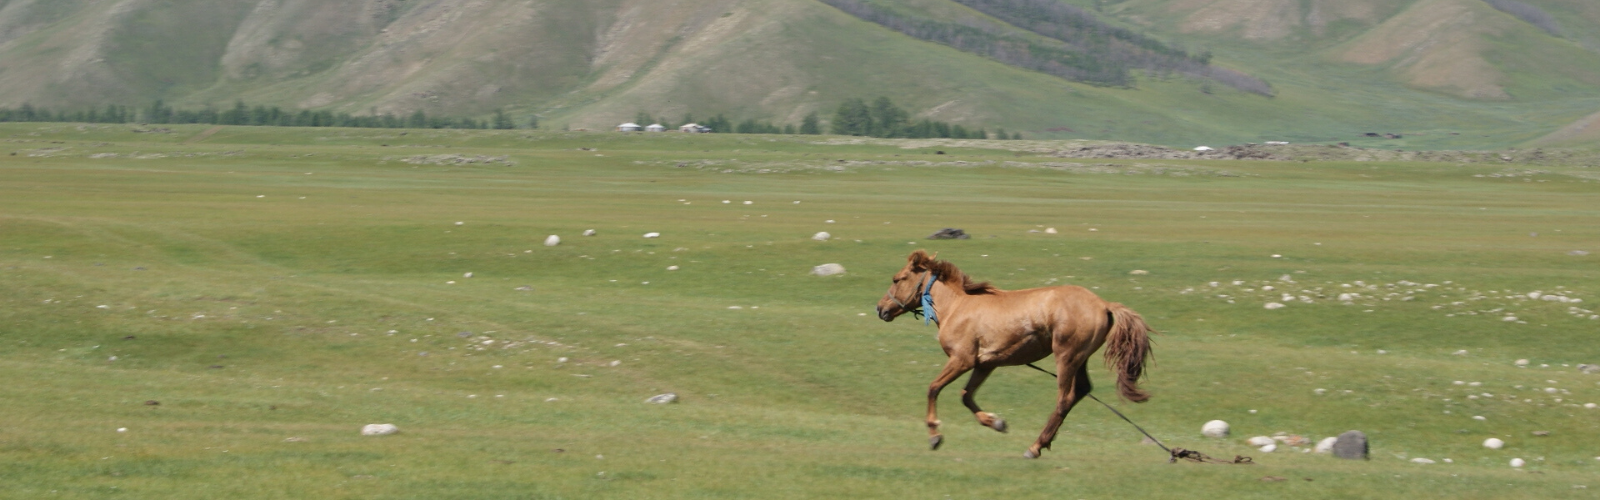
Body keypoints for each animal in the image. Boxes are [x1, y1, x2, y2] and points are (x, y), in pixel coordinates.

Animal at [876, 248, 1152, 458]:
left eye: (897, 279)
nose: (880, 309)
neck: (957, 306)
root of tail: (1104, 304)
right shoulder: (984, 364)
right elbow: (966, 396)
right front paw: (996, 423)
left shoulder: (962, 360)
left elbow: (933, 388)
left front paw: (935, 435)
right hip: (1080, 359)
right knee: (1081, 390)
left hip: (1066, 357)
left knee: (1064, 399)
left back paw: (1035, 447)